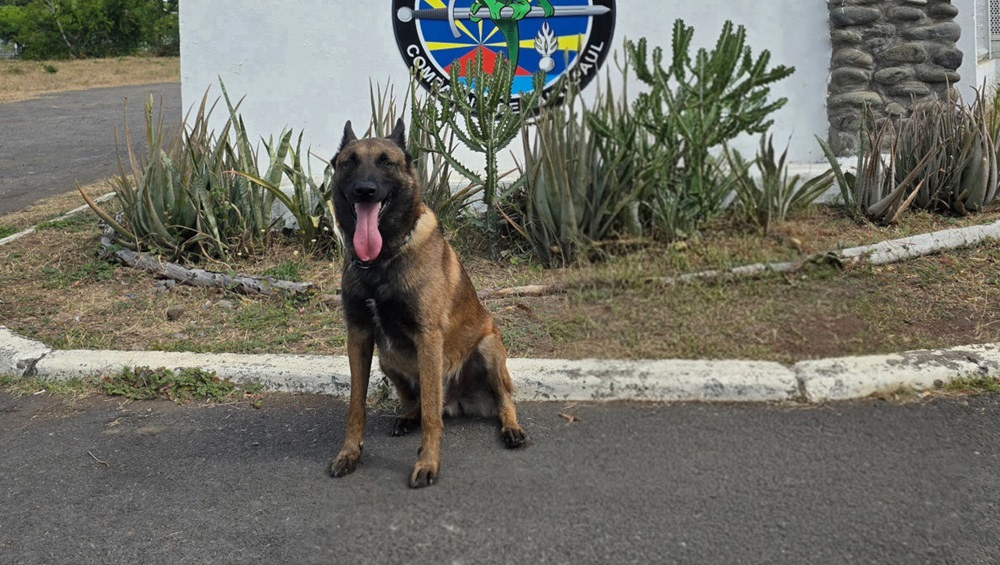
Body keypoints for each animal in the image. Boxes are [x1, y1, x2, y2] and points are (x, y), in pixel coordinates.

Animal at [328, 118, 527, 488]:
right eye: (349, 162)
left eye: (386, 162)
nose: (365, 190)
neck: (381, 260)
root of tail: (458, 401)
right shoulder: (359, 335)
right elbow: (355, 405)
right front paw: (349, 453)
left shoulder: (429, 337)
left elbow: (434, 418)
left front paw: (428, 463)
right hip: (387, 359)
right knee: (422, 401)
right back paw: (408, 417)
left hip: (488, 348)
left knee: (499, 400)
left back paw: (512, 427)